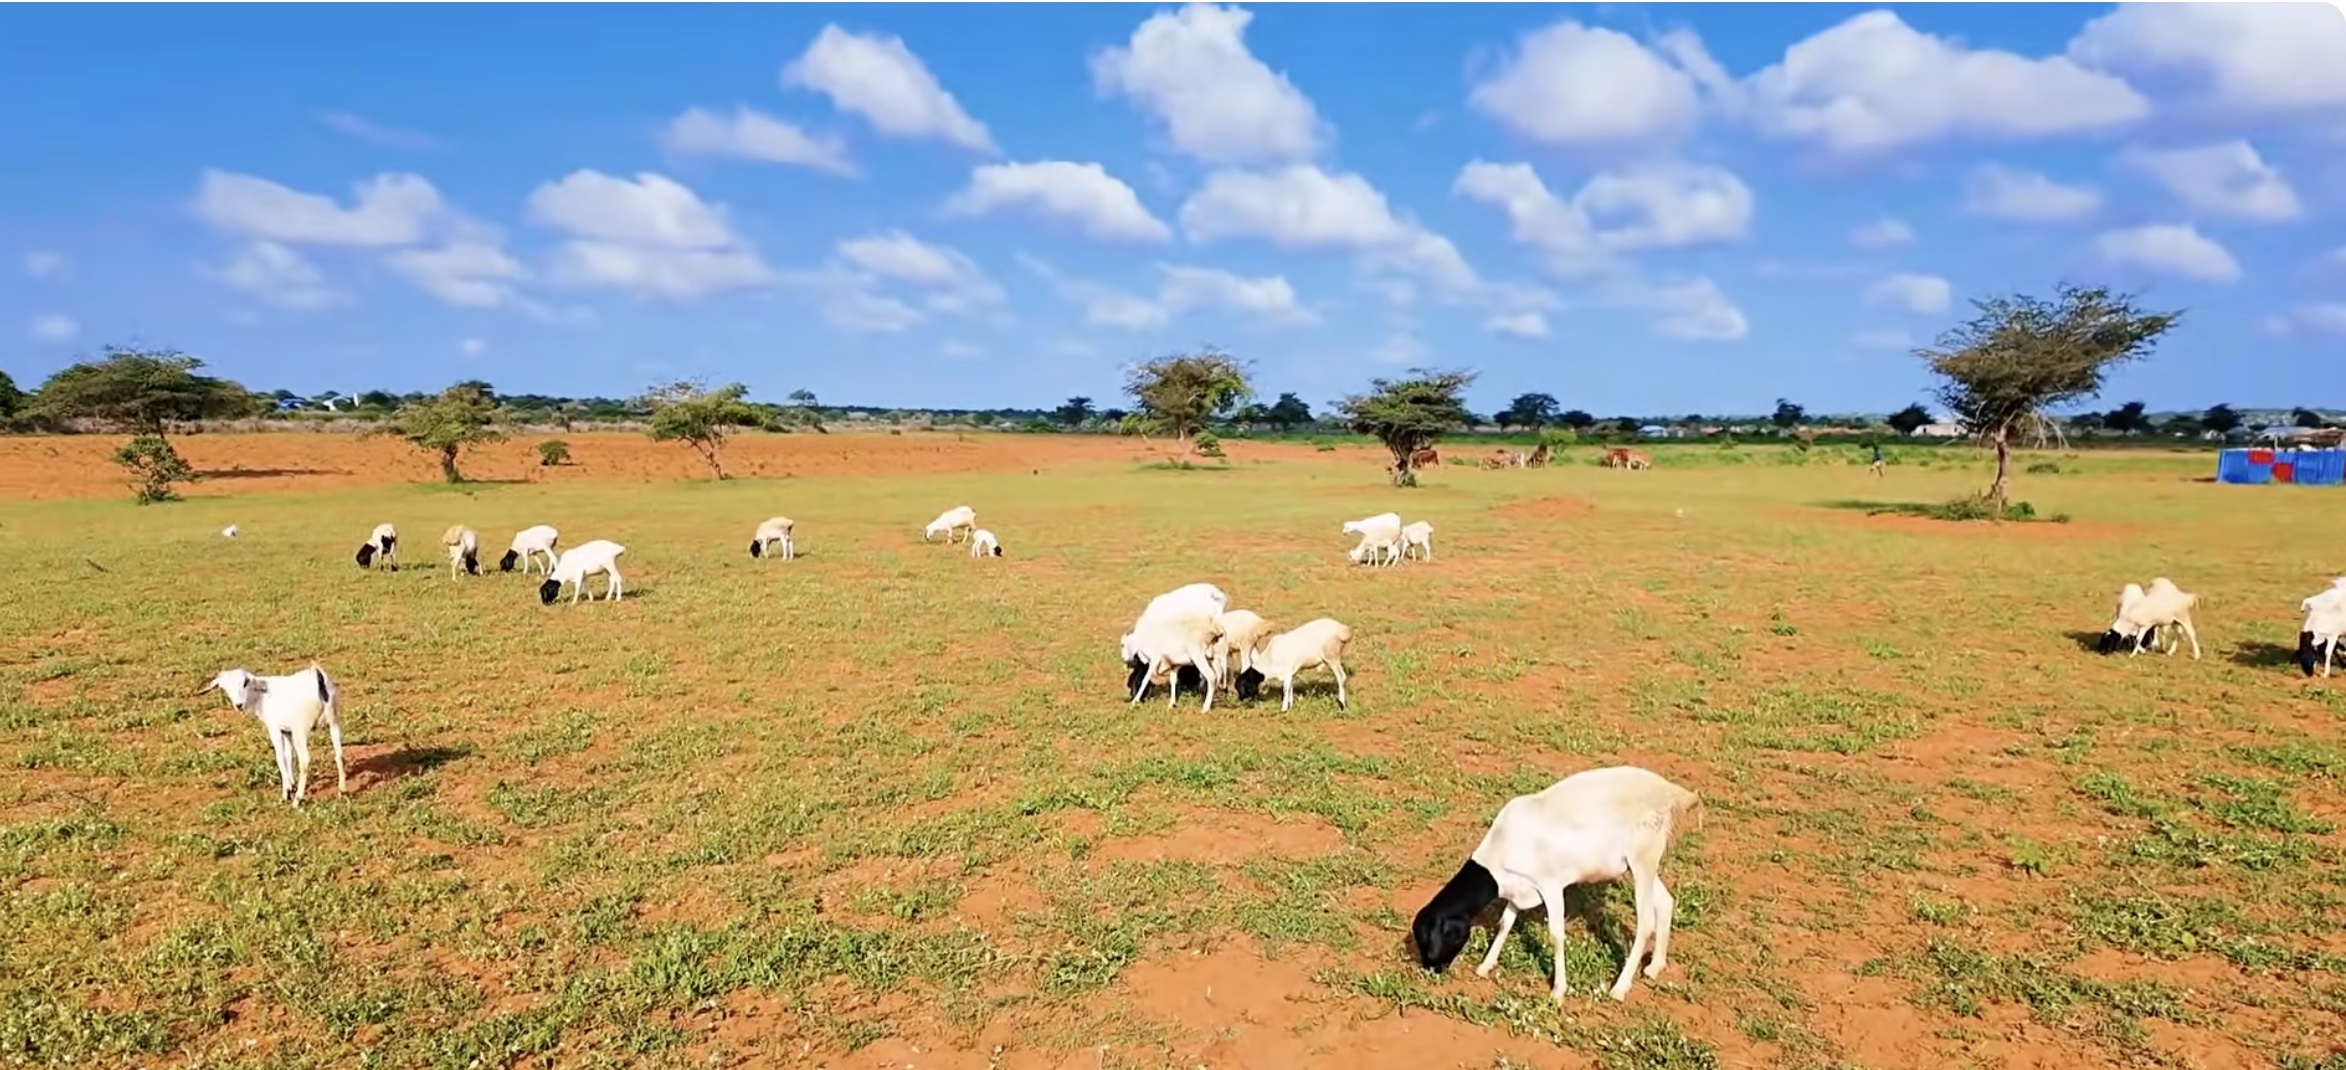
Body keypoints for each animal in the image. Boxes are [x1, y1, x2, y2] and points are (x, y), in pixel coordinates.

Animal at [196, 664, 349, 806]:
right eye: (226, 687)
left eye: (245, 683)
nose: (239, 705)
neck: (260, 695)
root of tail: (317, 678)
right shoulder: (286, 731)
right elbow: (288, 756)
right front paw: (291, 784)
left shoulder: (274, 729)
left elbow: (280, 758)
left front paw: (286, 792)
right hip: (333, 721)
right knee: (339, 753)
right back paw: (342, 790)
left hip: (301, 730)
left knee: (305, 760)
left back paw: (297, 800)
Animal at [1410, 765, 1703, 1003]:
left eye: (1433, 939)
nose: (1433, 970)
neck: (1503, 846)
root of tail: (1669, 792)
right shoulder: (1520, 887)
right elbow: (1505, 923)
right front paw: (1485, 966)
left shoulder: (1551, 885)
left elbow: (1556, 935)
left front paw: (1558, 990)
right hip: (1641, 863)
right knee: (1665, 901)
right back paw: (1655, 967)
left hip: (1642, 858)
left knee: (1645, 923)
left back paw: (1619, 989)